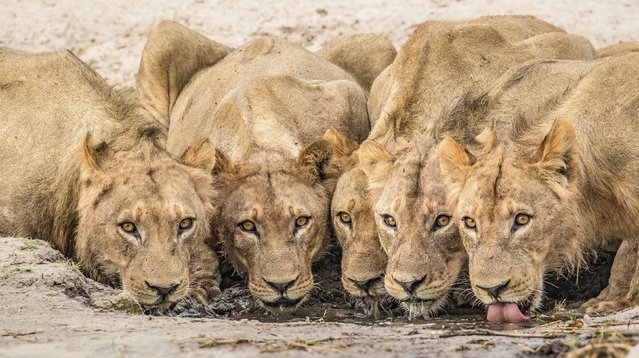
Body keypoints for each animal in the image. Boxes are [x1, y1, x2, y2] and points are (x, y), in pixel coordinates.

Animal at [137, 21, 392, 310]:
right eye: (247, 226)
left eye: (301, 221)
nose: (281, 285)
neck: (263, 147)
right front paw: (198, 287)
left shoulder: (347, 95)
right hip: (164, 37)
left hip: (377, 44)